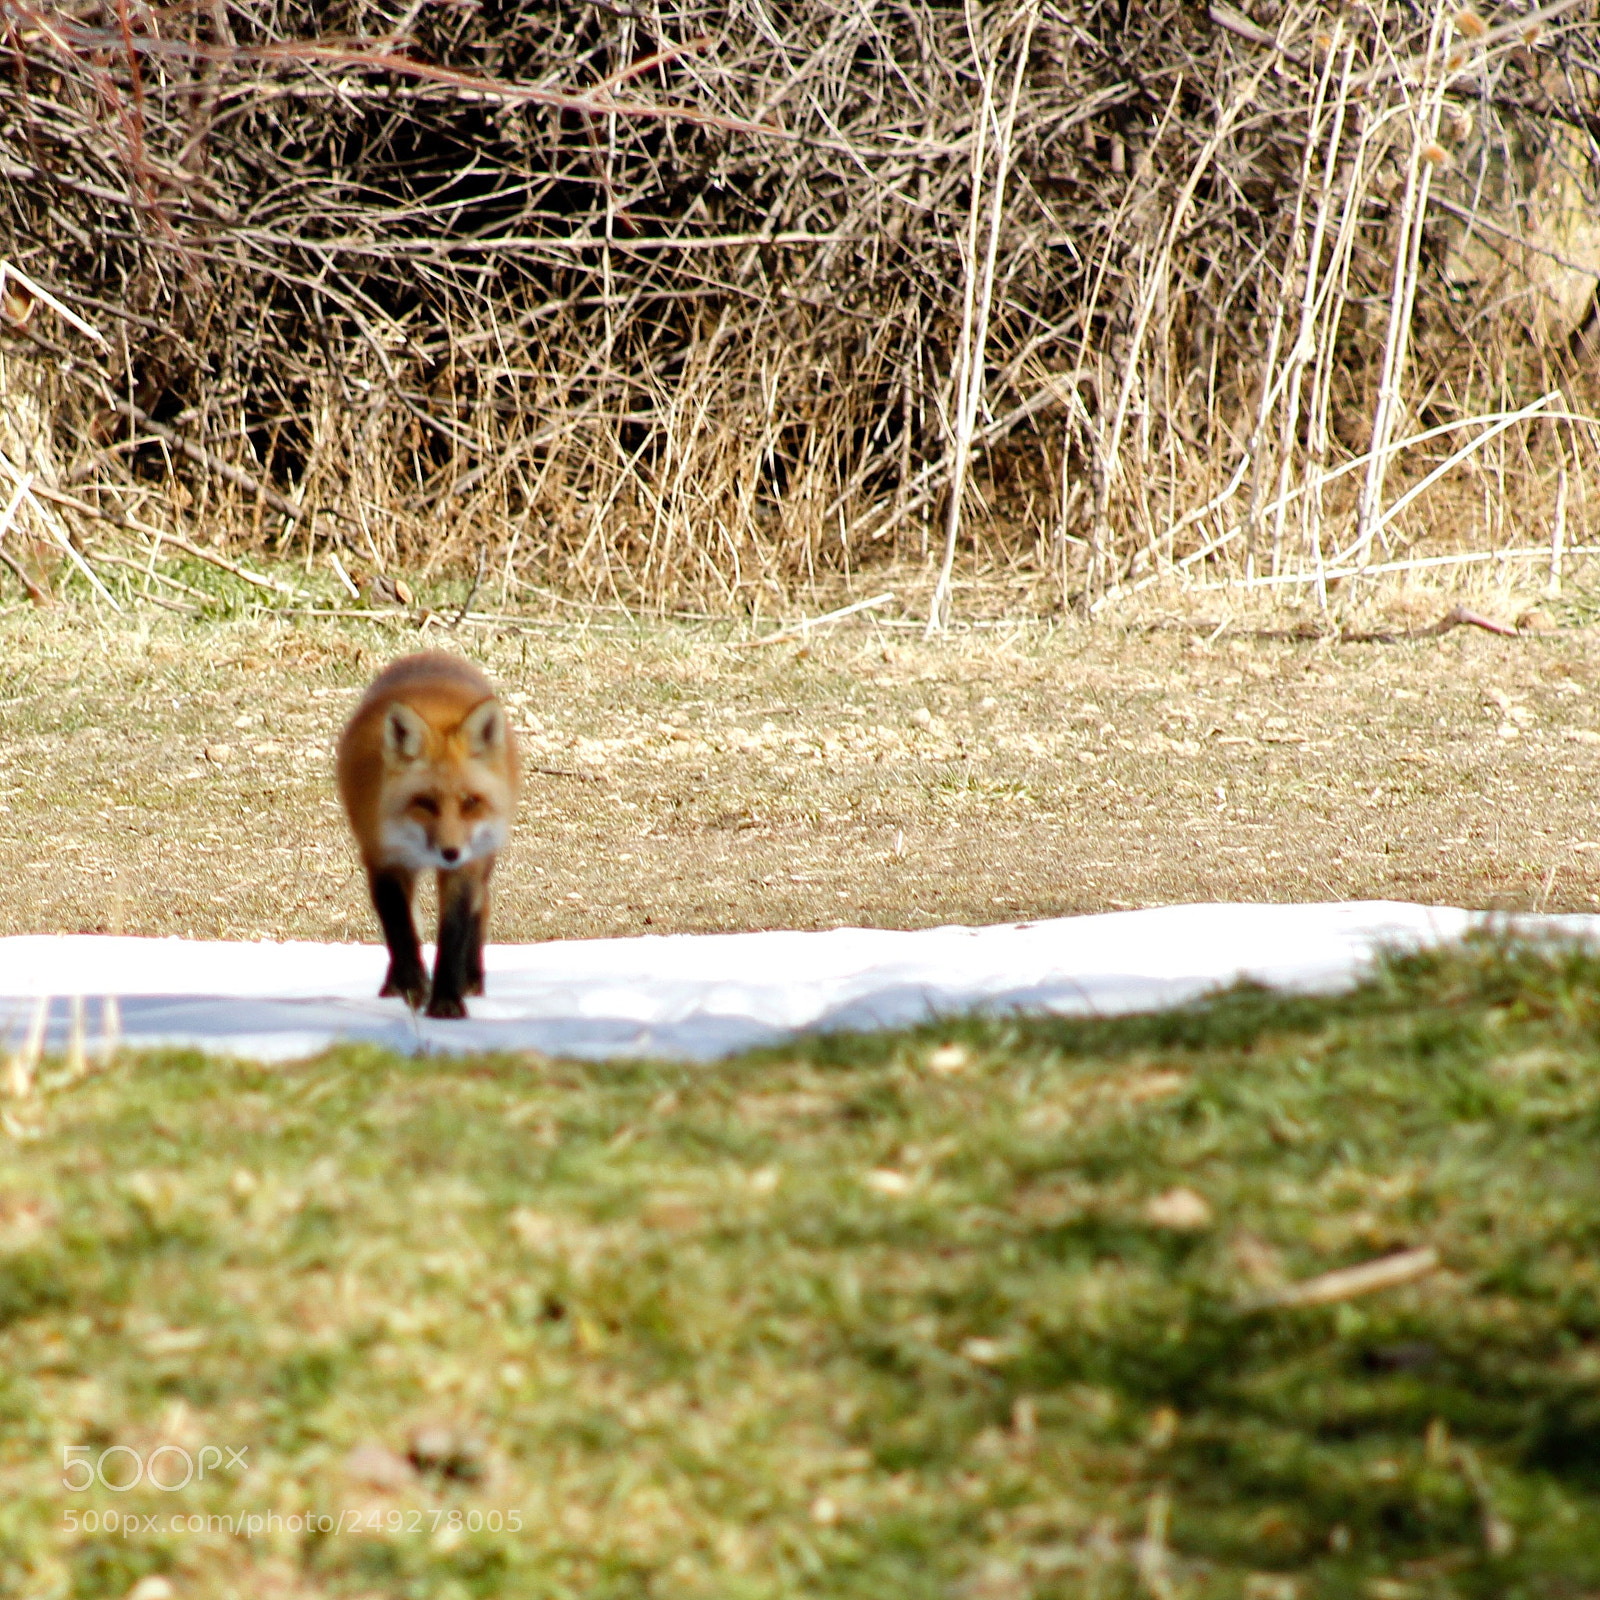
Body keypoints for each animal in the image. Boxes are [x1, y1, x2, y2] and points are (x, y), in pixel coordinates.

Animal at [336, 652, 520, 1018]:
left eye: (470, 802)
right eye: (424, 802)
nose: (450, 852)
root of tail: (433, 655)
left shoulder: (465, 868)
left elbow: (453, 934)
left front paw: (446, 1001)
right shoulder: (383, 859)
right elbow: (400, 930)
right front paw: (411, 987)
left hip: (483, 856)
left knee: (481, 908)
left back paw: (471, 978)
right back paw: (397, 983)